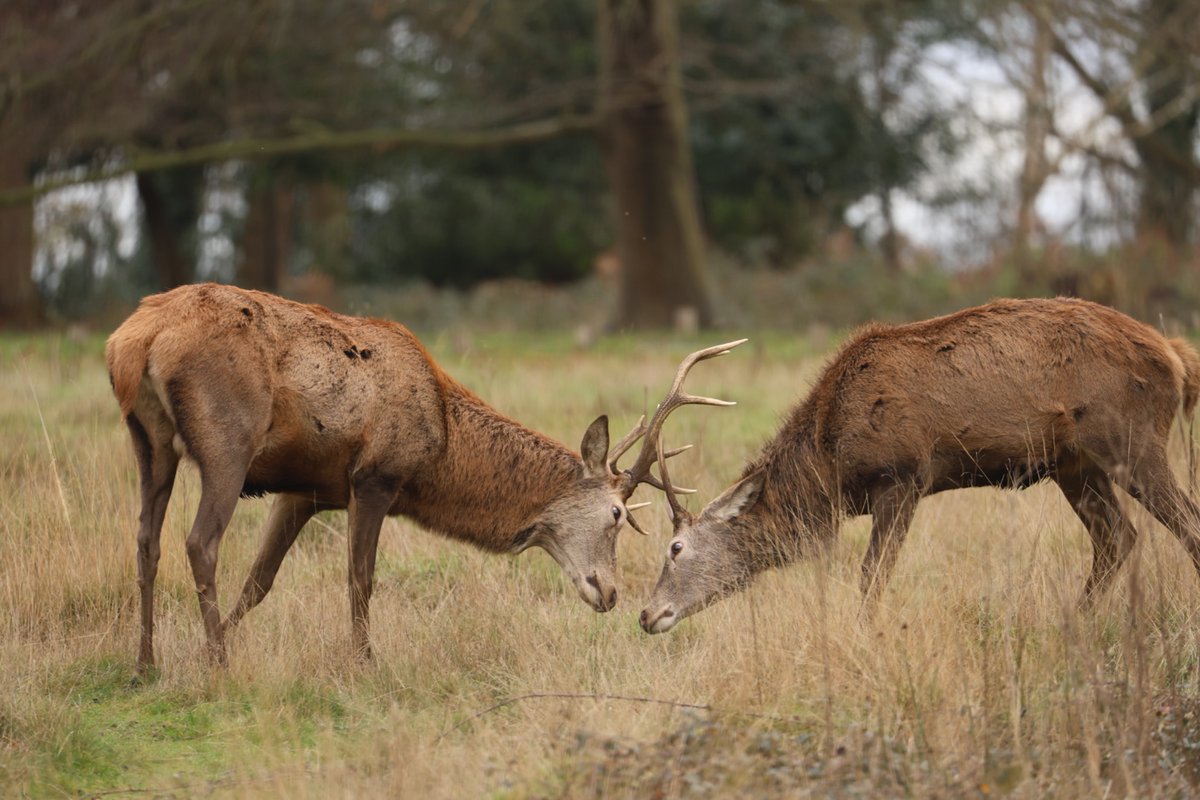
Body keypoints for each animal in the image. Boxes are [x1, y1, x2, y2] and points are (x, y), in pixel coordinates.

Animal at [106, 283, 744, 671]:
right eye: (616, 514)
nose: (610, 593)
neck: (440, 446)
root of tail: (133, 340)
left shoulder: (305, 490)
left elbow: (260, 580)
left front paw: (208, 646)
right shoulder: (375, 477)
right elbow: (360, 579)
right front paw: (365, 662)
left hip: (148, 441)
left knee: (146, 540)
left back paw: (145, 662)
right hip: (227, 442)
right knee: (199, 542)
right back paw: (219, 665)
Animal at [639, 297, 1200, 634]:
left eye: (675, 547)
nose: (647, 614)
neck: (831, 465)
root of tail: (1175, 356)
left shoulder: (902, 476)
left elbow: (871, 576)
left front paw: (864, 636)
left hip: (1134, 442)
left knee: (1185, 526)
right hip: (1075, 465)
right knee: (1118, 537)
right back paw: (1071, 624)